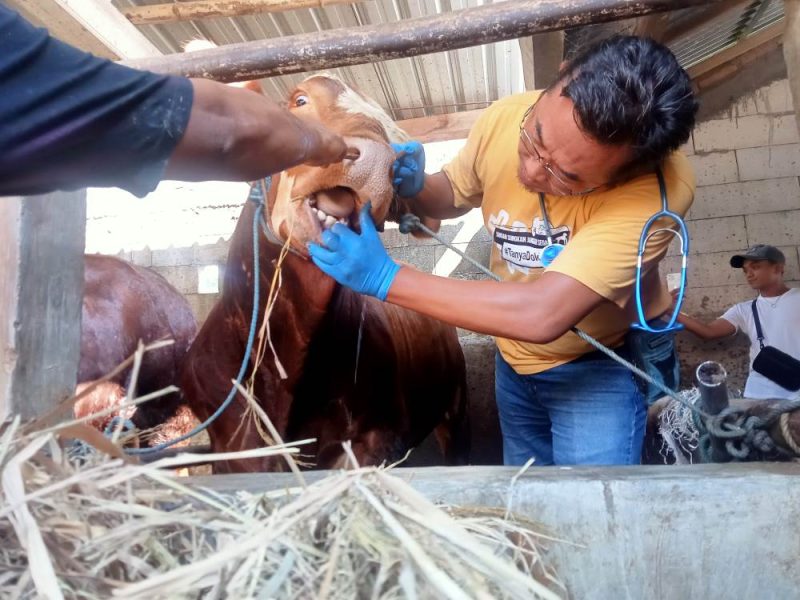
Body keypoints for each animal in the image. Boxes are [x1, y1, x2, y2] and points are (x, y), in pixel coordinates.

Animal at [181, 75, 468, 472]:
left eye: (399, 143)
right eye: (299, 100)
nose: (380, 160)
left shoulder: (373, 441)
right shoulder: (230, 447)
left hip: (455, 409)